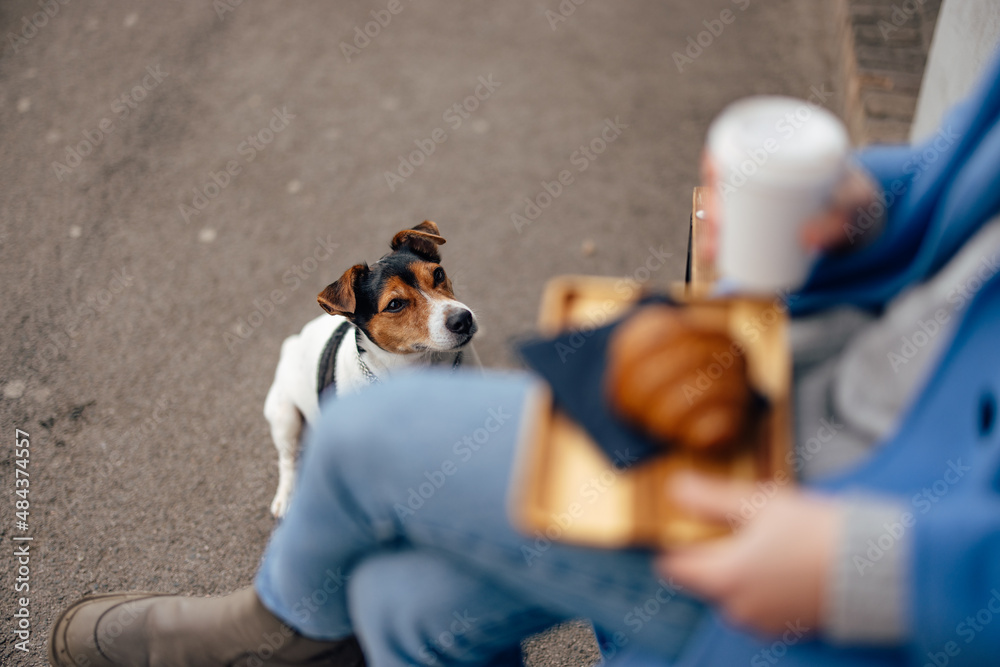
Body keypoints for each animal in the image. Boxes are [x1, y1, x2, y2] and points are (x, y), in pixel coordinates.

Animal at [262, 222, 480, 520]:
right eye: (394, 304)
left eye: (438, 274)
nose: (463, 319)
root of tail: (293, 341)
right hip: (284, 416)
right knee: (288, 459)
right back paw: (287, 497)